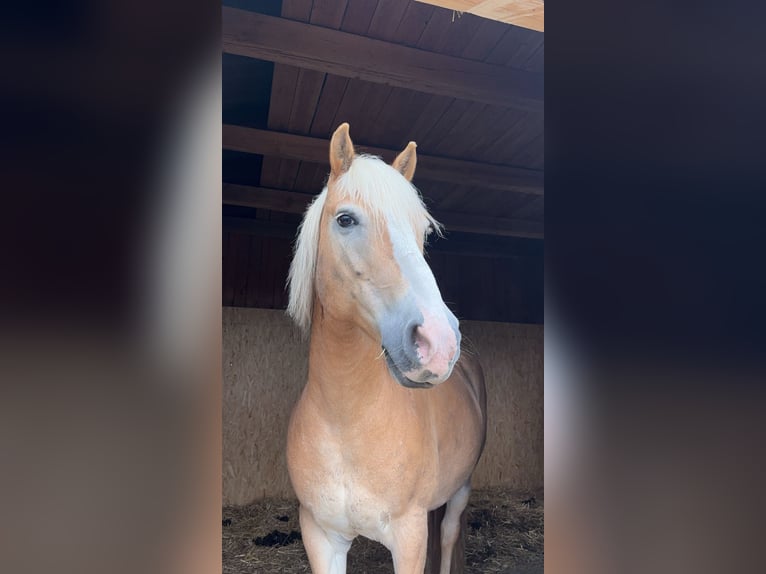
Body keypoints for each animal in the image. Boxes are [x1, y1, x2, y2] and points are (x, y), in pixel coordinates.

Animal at [284, 124, 488, 572]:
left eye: (423, 231)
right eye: (345, 219)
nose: (438, 342)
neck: (346, 423)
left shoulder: (408, 536)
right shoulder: (321, 536)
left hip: (461, 488)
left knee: (448, 535)